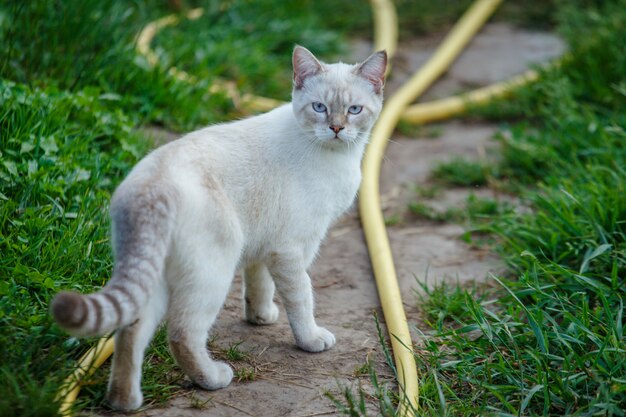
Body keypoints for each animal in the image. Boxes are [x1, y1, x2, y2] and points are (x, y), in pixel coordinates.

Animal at [51, 45, 386, 410]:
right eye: (319, 108)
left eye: (354, 110)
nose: (337, 128)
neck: (338, 158)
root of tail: (151, 189)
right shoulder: (293, 248)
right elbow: (301, 298)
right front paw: (310, 340)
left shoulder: (265, 247)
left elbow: (259, 285)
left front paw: (261, 317)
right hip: (212, 272)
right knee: (181, 333)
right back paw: (213, 378)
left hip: (156, 275)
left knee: (131, 330)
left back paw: (124, 401)